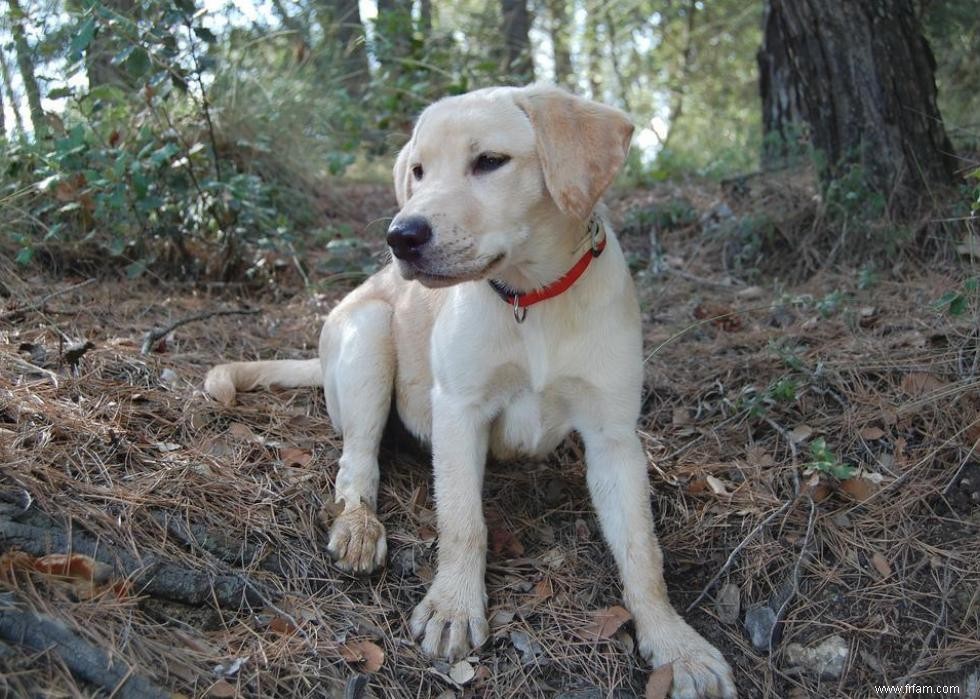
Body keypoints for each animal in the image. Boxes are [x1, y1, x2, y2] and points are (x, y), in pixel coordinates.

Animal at [207, 85, 736, 696]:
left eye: (489, 161)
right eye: (417, 171)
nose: (400, 237)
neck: (531, 296)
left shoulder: (614, 435)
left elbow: (642, 551)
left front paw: (677, 645)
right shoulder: (459, 409)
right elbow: (462, 521)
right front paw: (454, 607)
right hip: (368, 334)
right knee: (356, 462)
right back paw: (359, 524)